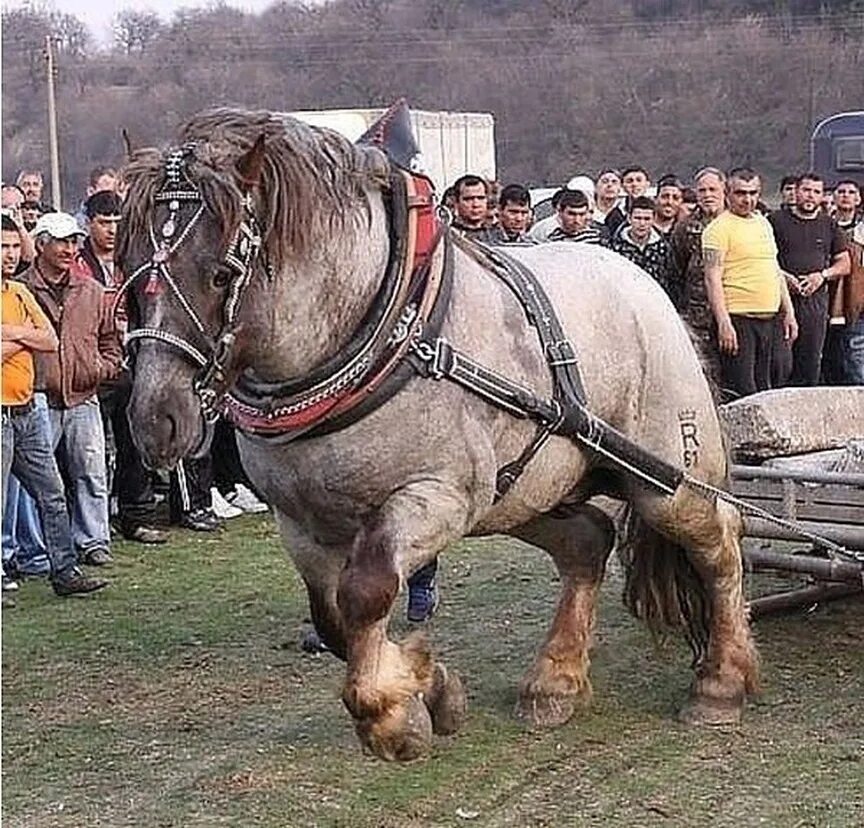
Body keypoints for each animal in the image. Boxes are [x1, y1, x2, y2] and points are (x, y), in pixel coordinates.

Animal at [120, 110, 756, 764]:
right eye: (128, 268)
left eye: (221, 273)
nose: (155, 419)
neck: (382, 332)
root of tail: (646, 288)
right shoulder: (301, 522)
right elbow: (332, 620)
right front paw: (427, 686)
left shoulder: (439, 496)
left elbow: (366, 591)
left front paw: (393, 714)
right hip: (523, 493)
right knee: (587, 541)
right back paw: (554, 681)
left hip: (666, 481)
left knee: (718, 542)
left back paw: (720, 684)